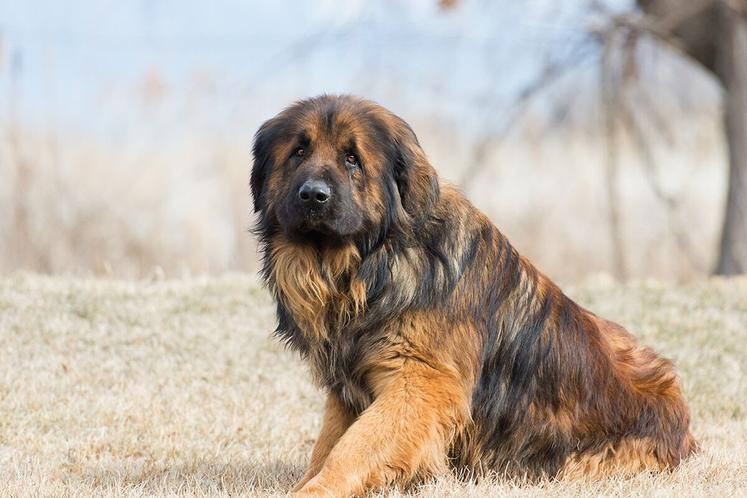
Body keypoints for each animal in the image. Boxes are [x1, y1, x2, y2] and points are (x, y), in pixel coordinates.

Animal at [250, 95, 696, 496]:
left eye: (352, 159)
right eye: (298, 151)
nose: (313, 194)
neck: (371, 265)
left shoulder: (422, 380)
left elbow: (353, 447)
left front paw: (315, 489)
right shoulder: (350, 385)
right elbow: (329, 445)